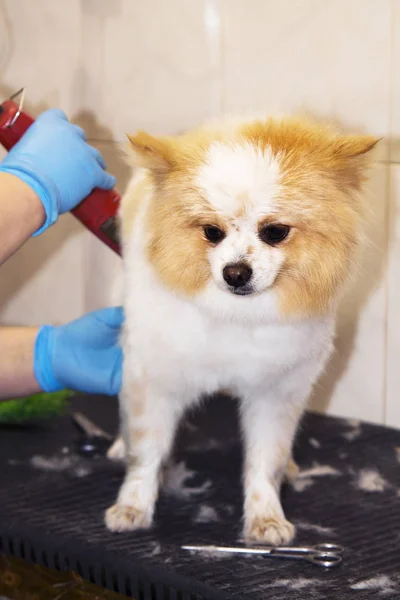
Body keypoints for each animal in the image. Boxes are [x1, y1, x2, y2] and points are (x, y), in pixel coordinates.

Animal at [104, 116, 378, 544]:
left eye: (275, 232)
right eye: (211, 232)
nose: (235, 273)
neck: (239, 316)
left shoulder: (276, 393)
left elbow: (266, 461)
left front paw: (266, 517)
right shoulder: (155, 379)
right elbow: (145, 451)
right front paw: (132, 506)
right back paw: (119, 444)